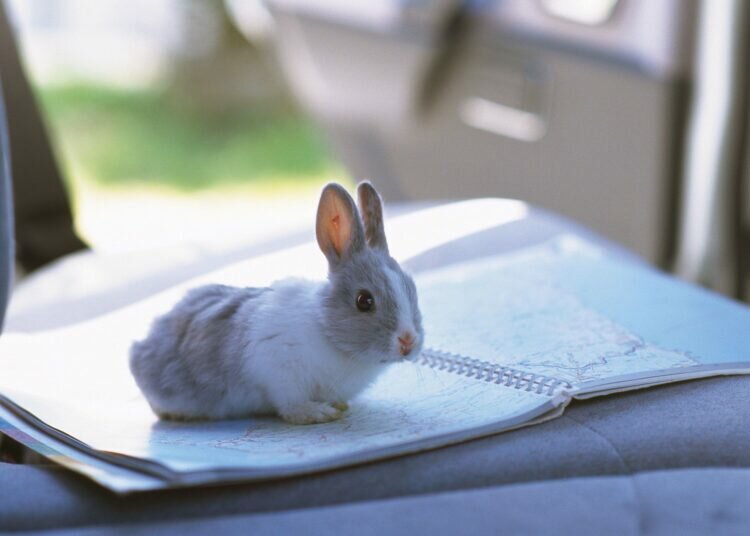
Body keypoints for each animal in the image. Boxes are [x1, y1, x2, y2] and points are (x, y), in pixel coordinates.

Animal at [129, 182, 424, 426]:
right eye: (364, 301)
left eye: (412, 288)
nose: (408, 341)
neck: (326, 331)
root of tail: (141, 347)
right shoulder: (280, 373)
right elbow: (291, 407)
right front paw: (319, 413)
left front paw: (339, 406)